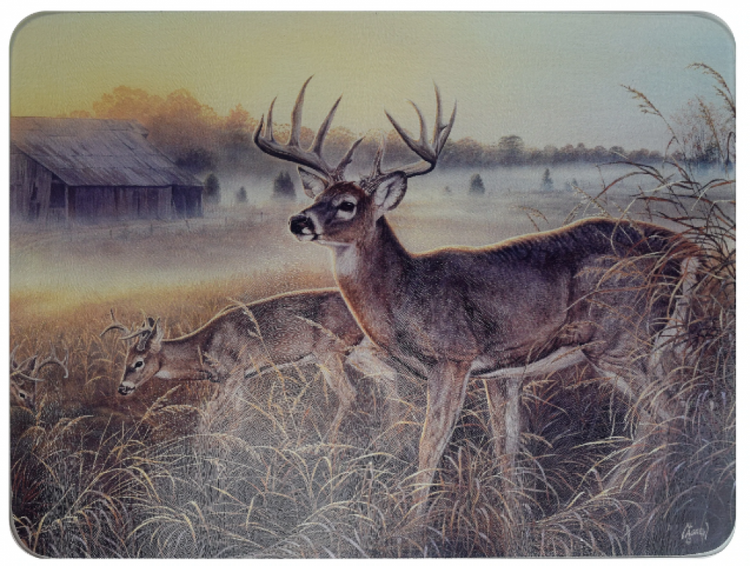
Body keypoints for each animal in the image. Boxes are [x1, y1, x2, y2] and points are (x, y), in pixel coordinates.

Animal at [101, 289, 399, 437]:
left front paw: (201, 453)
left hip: (329, 352)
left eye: (138, 363)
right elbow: (238, 414)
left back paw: (329, 443)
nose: (123, 388)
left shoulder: (232, 374)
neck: (203, 349)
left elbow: (206, 414)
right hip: (357, 351)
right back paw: (393, 433)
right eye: (126, 360)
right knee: (390, 377)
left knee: (350, 393)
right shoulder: (240, 380)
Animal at [254, 77, 703, 514]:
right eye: (316, 197)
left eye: (347, 204)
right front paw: (515, 518)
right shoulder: (501, 373)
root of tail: (686, 248)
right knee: (666, 411)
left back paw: (612, 501)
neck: (406, 292)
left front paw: (411, 525)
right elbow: (506, 448)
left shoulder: (454, 357)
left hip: (620, 340)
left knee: (668, 412)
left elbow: (430, 445)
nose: (297, 221)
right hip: (654, 343)